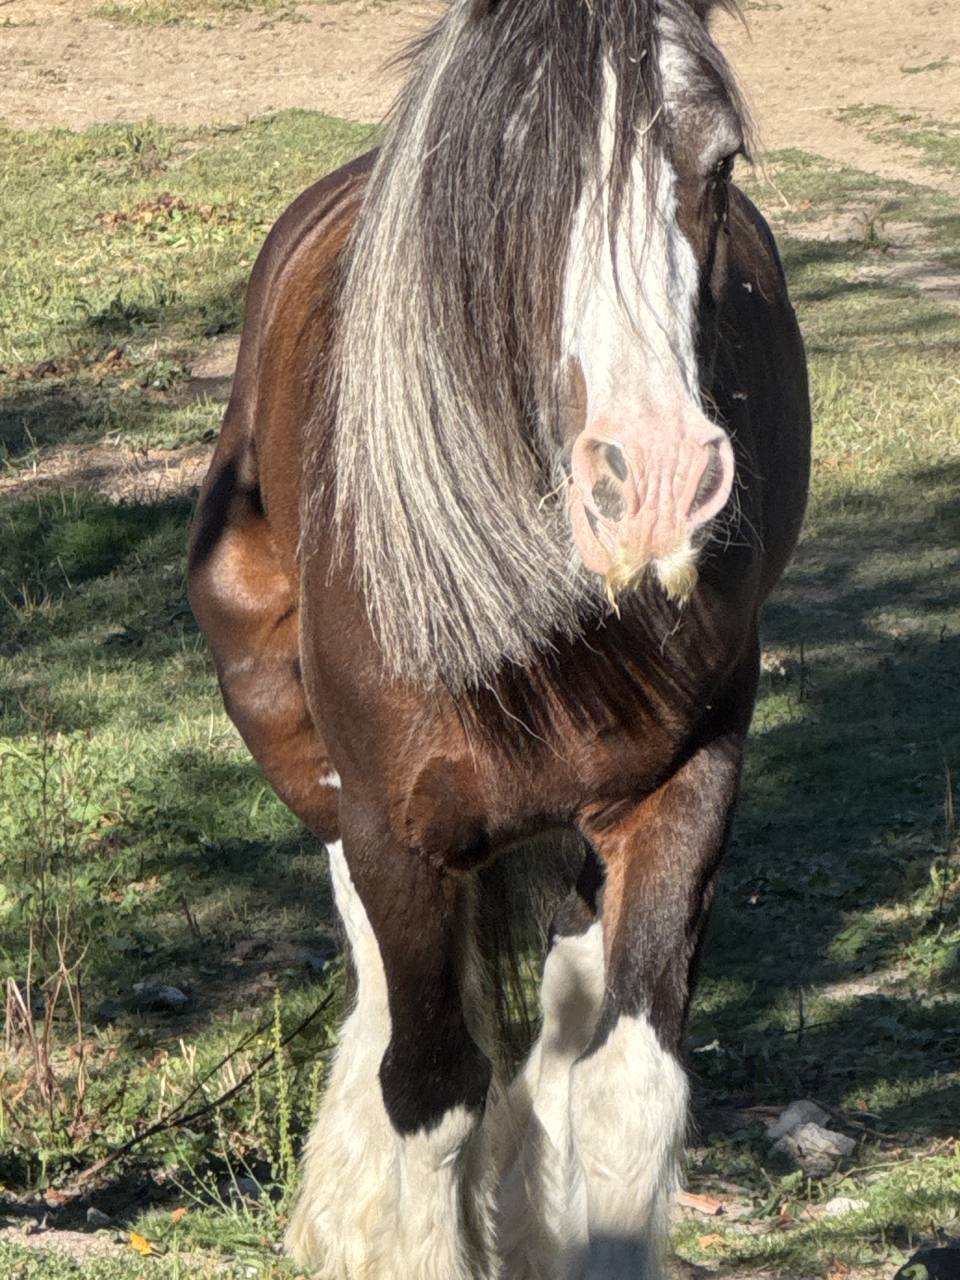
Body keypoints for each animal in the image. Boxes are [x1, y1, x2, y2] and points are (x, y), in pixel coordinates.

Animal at [187, 0, 811, 1273]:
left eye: (718, 165)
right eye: (506, 175)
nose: (656, 481)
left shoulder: (687, 787)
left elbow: (625, 1087)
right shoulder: (397, 827)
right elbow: (430, 1090)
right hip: (309, 757)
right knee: (383, 989)